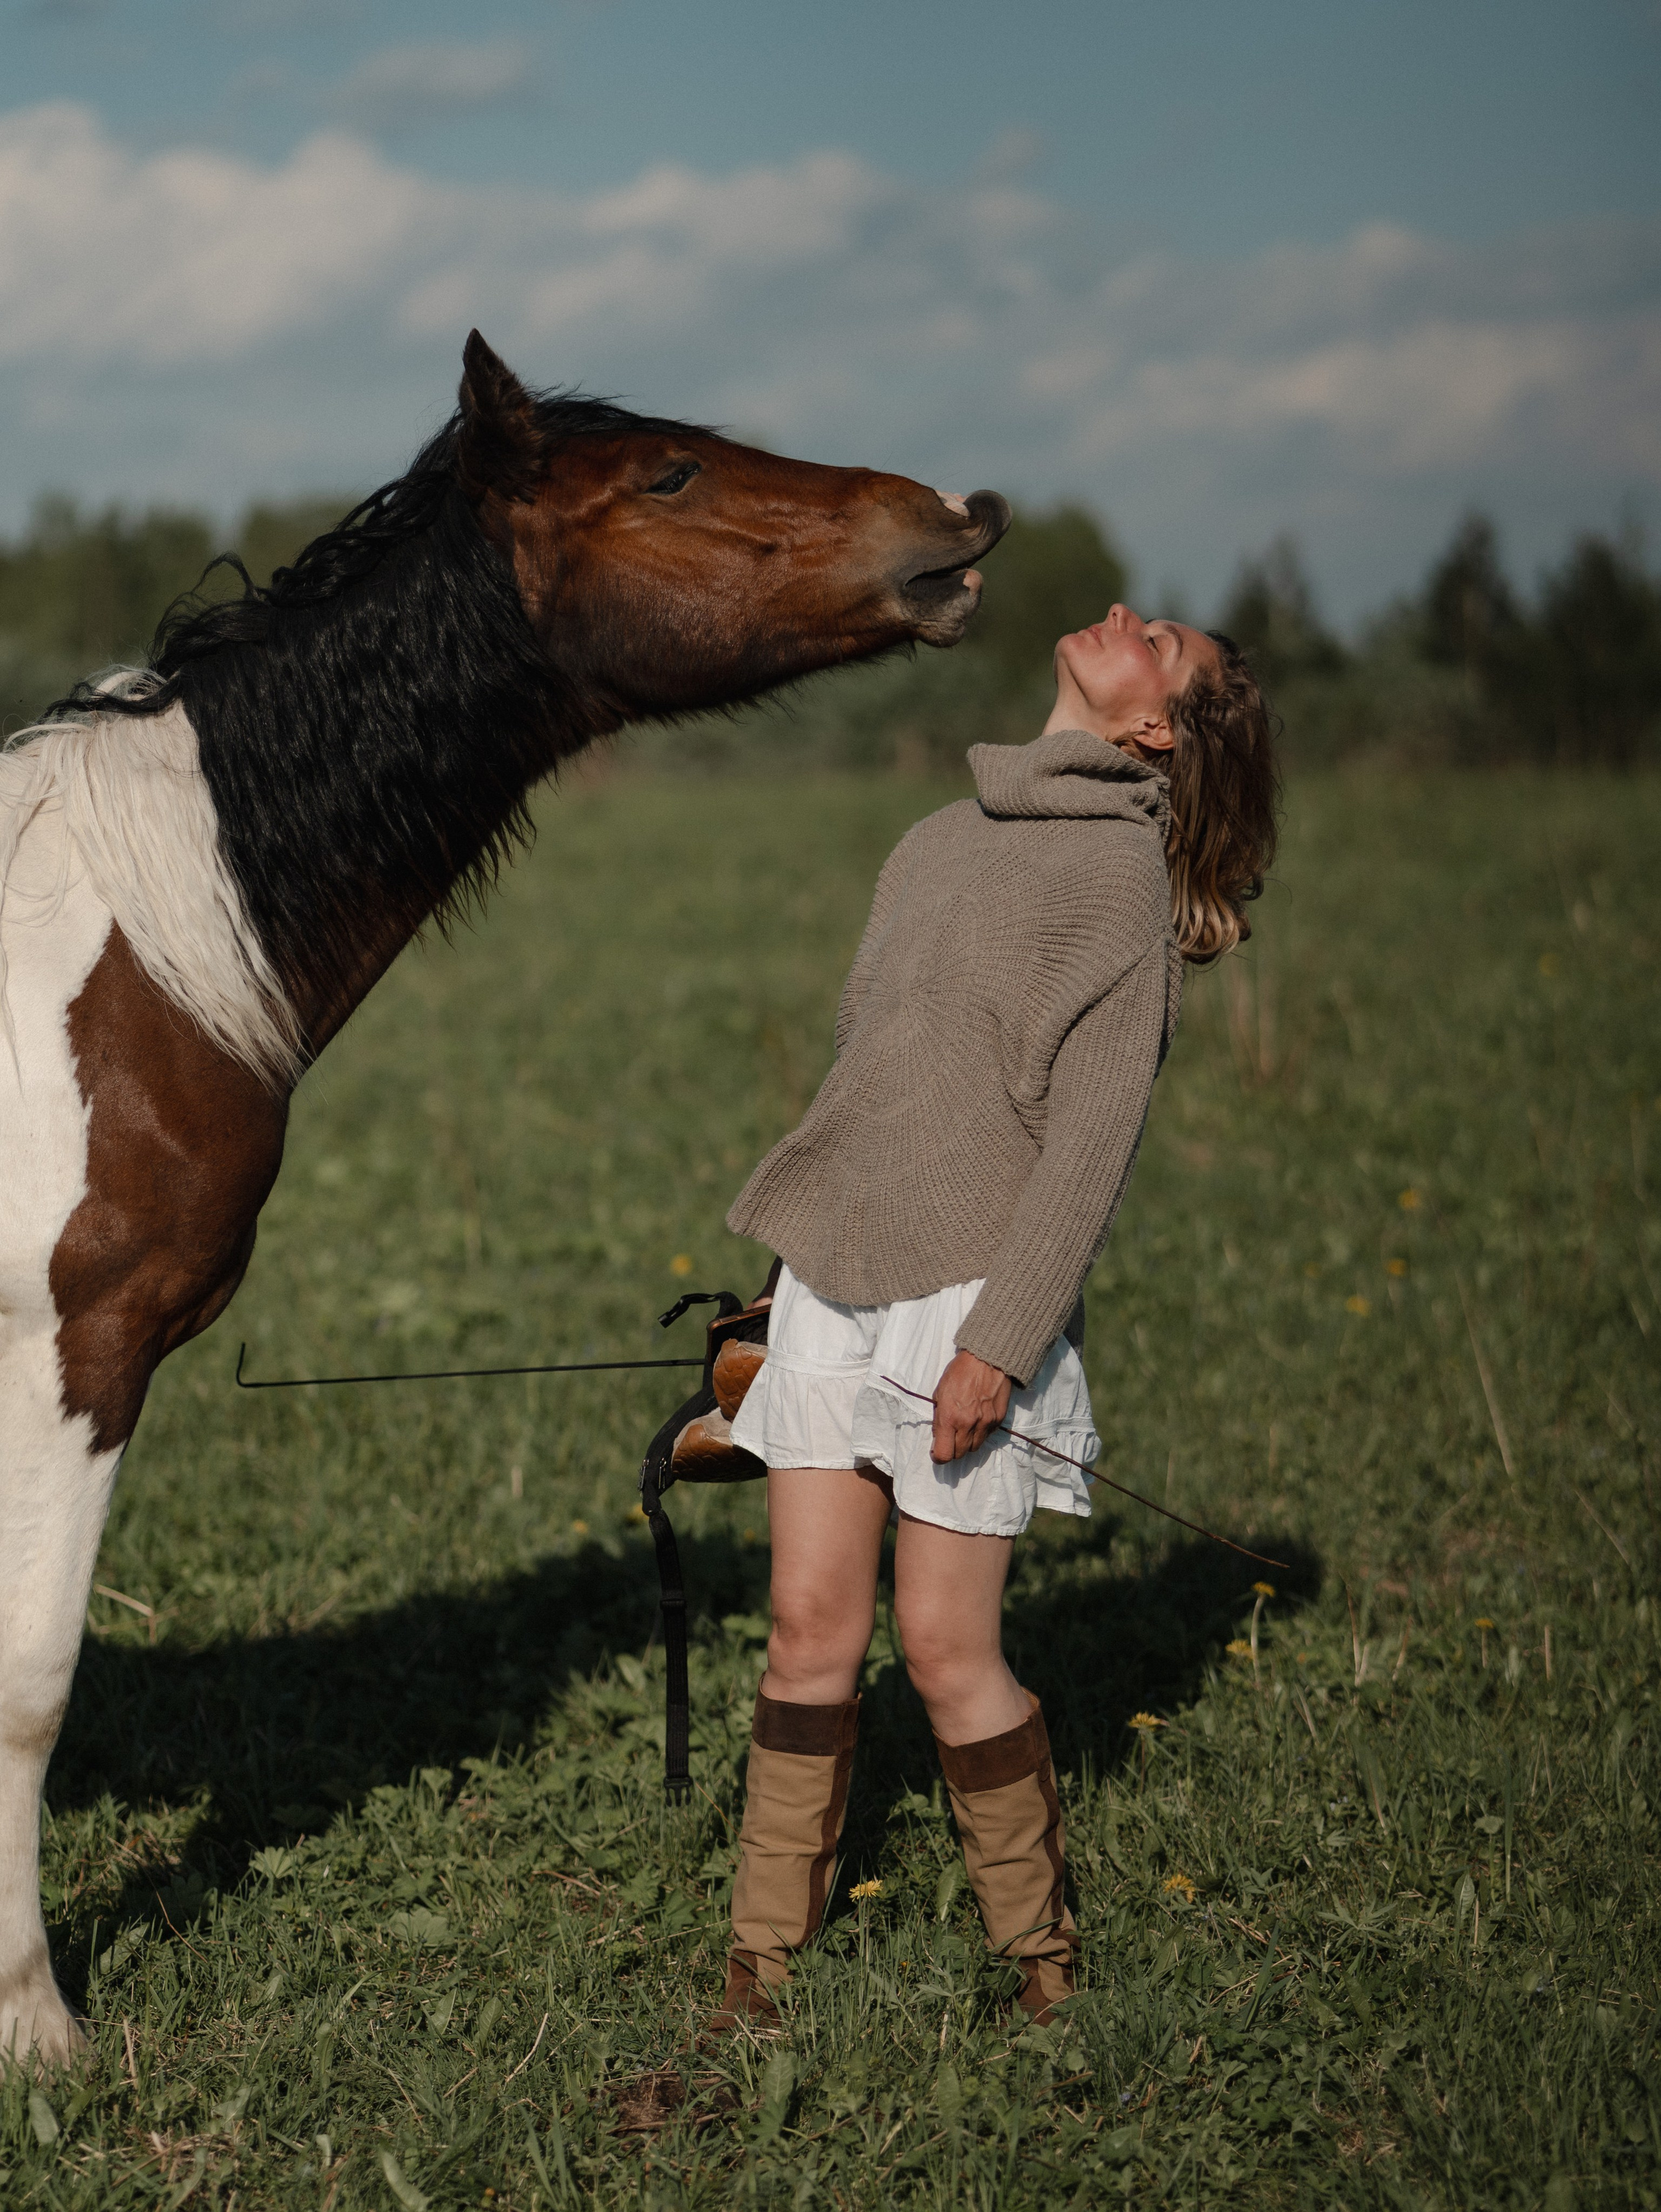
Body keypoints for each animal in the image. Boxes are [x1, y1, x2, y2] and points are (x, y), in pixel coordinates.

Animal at [0, 329, 1011, 2065]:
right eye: (667, 473)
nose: (952, 519)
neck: (124, 943)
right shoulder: (74, 1350)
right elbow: (30, 1685)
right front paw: (37, 2033)